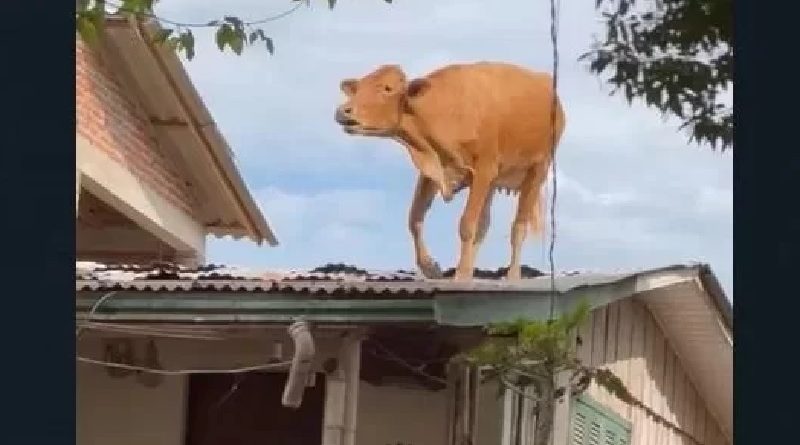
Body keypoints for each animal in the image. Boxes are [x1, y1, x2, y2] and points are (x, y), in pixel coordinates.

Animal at [334, 62, 566, 281]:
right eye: (357, 88)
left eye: (387, 88)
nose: (343, 111)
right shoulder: (432, 171)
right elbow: (415, 218)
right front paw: (431, 267)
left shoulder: (484, 169)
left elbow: (467, 224)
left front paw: (461, 275)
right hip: (494, 182)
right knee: (484, 225)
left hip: (537, 171)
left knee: (518, 226)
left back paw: (513, 276)